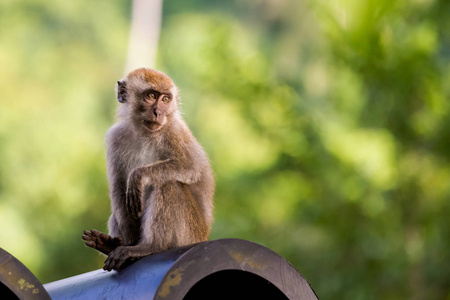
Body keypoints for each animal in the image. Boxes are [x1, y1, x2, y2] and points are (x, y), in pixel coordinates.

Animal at [82, 68, 214, 272]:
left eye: (166, 99)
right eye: (151, 96)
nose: (158, 112)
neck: (144, 132)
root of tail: (203, 236)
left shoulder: (175, 132)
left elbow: (192, 166)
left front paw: (138, 175)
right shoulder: (115, 138)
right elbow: (118, 186)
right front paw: (127, 241)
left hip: (189, 234)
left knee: (169, 184)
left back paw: (150, 247)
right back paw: (113, 246)